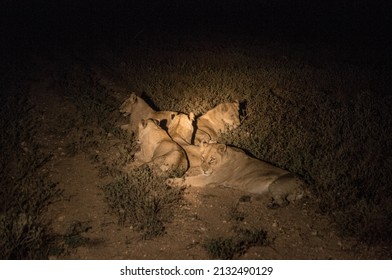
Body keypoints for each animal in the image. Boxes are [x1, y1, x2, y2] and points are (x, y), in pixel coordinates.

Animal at [167, 142, 304, 206]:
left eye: (212, 160)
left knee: (283, 202)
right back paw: (246, 198)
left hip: (277, 184)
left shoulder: (207, 179)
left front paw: (171, 181)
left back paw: (271, 205)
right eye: (202, 157)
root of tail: (305, 186)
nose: (204, 170)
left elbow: (187, 179)